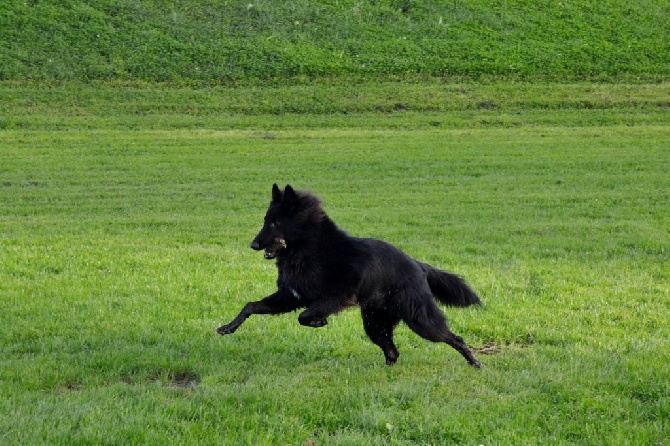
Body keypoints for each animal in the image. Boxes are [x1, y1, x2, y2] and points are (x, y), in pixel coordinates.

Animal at [218, 183, 486, 368]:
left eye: (275, 222)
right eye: (266, 220)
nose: (253, 244)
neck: (310, 250)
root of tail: (418, 265)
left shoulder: (334, 297)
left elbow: (304, 315)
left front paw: (318, 321)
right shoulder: (290, 297)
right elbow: (251, 306)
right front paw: (228, 327)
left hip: (421, 321)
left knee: (454, 338)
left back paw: (475, 363)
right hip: (375, 324)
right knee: (393, 352)